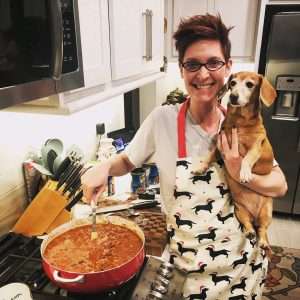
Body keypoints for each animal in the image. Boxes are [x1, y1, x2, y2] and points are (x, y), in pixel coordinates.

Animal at [195, 71, 276, 250]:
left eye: (250, 84)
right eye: (232, 83)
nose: (233, 96)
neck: (240, 121)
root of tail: (254, 216)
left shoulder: (257, 147)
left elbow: (247, 158)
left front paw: (244, 172)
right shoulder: (220, 146)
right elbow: (209, 155)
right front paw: (201, 167)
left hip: (267, 213)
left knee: (263, 229)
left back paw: (263, 242)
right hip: (240, 211)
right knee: (249, 224)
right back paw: (249, 231)